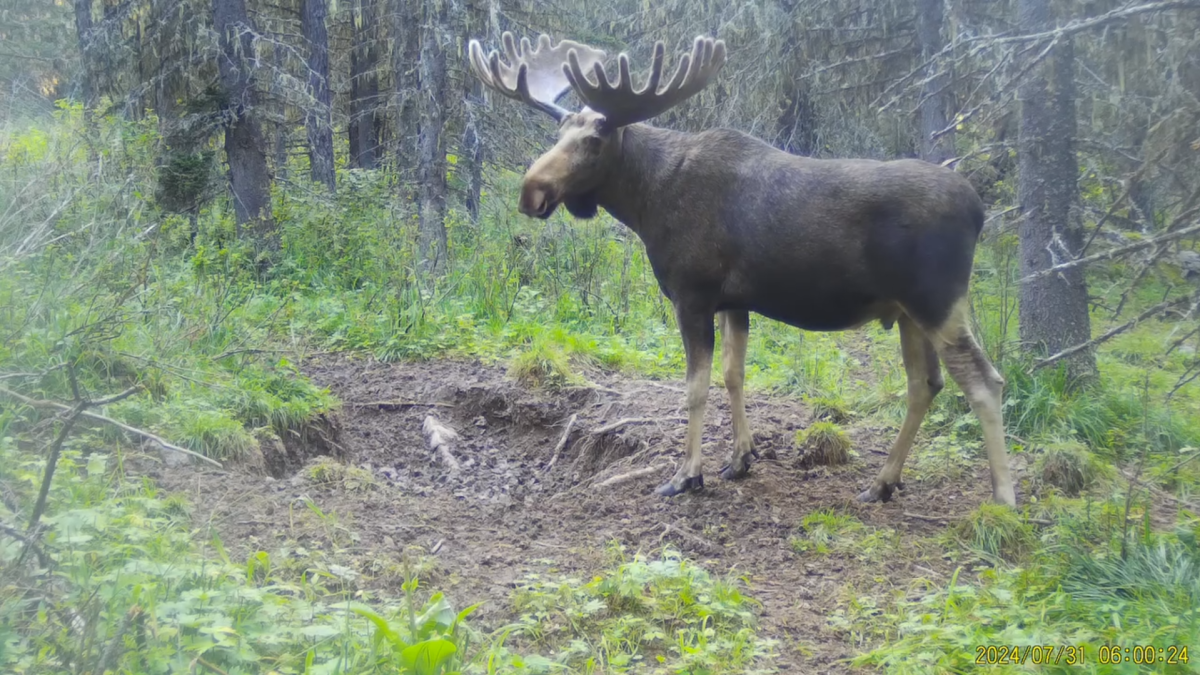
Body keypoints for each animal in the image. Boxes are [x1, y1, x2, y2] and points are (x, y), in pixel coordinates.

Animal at [463, 31, 1017, 504]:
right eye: (559, 131)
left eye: (594, 141)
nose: (531, 192)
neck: (646, 202)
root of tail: (979, 212)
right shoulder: (735, 300)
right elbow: (734, 374)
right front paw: (739, 459)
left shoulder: (692, 294)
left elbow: (694, 387)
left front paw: (687, 475)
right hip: (905, 312)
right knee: (926, 384)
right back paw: (883, 483)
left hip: (936, 299)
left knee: (985, 381)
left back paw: (1002, 499)